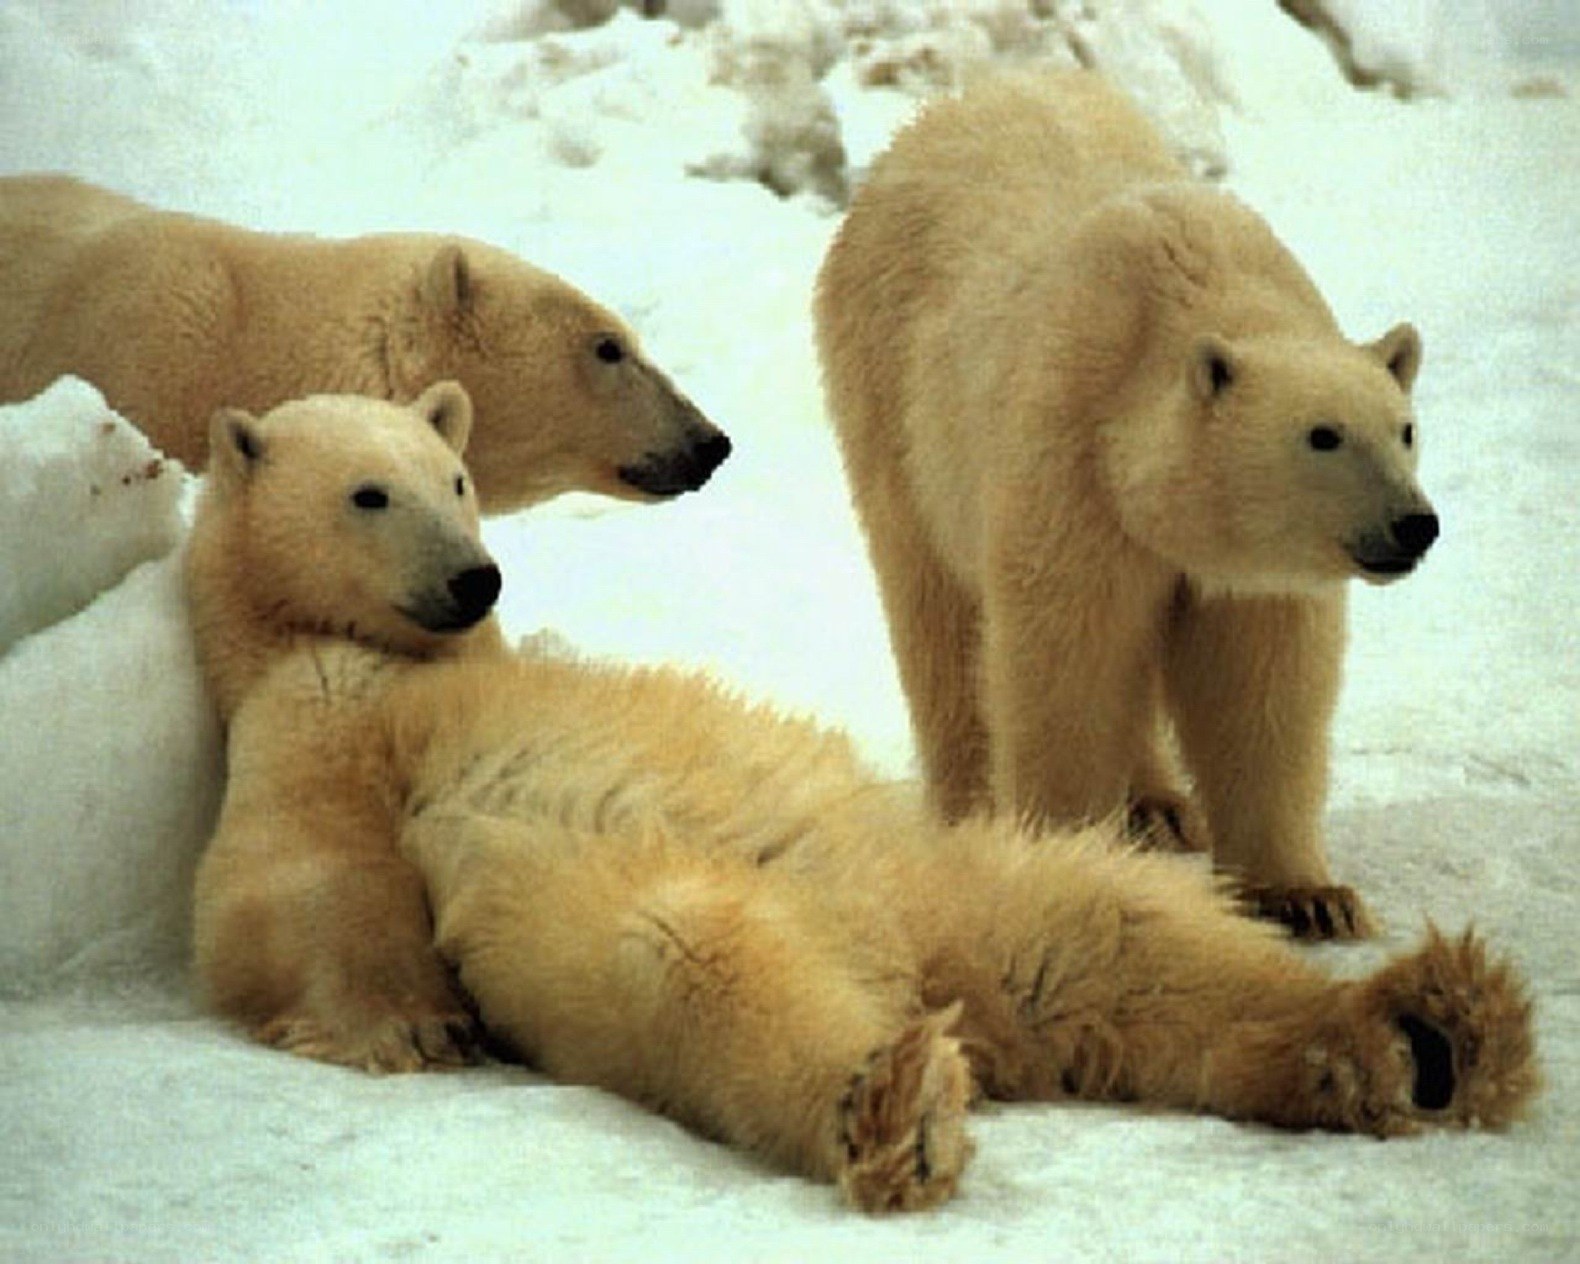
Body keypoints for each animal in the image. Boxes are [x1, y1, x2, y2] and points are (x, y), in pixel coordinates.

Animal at [186, 384, 1534, 1213]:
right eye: (368, 491)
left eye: (456, 477)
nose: (474, 576)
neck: (410, 659)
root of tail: (922, 975)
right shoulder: (311, 710)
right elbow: (285, 880)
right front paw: (406, 1026)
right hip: (667, 905)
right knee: (693, 954)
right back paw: (896, 1105)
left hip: (952, 875)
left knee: (1118, 933)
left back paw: (1423, 1031)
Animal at [814, 70, 1439, 940]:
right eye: (1323, 435)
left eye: (1405, 428)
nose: (1414, 524)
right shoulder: (1072, 459)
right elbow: (1068, 654)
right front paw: (1067, 862)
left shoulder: (1249, 570)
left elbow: (1262, 686)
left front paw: (1310, 896)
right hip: (892, 400)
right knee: (935, 613)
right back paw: (975, 805)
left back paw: (1160, 806)